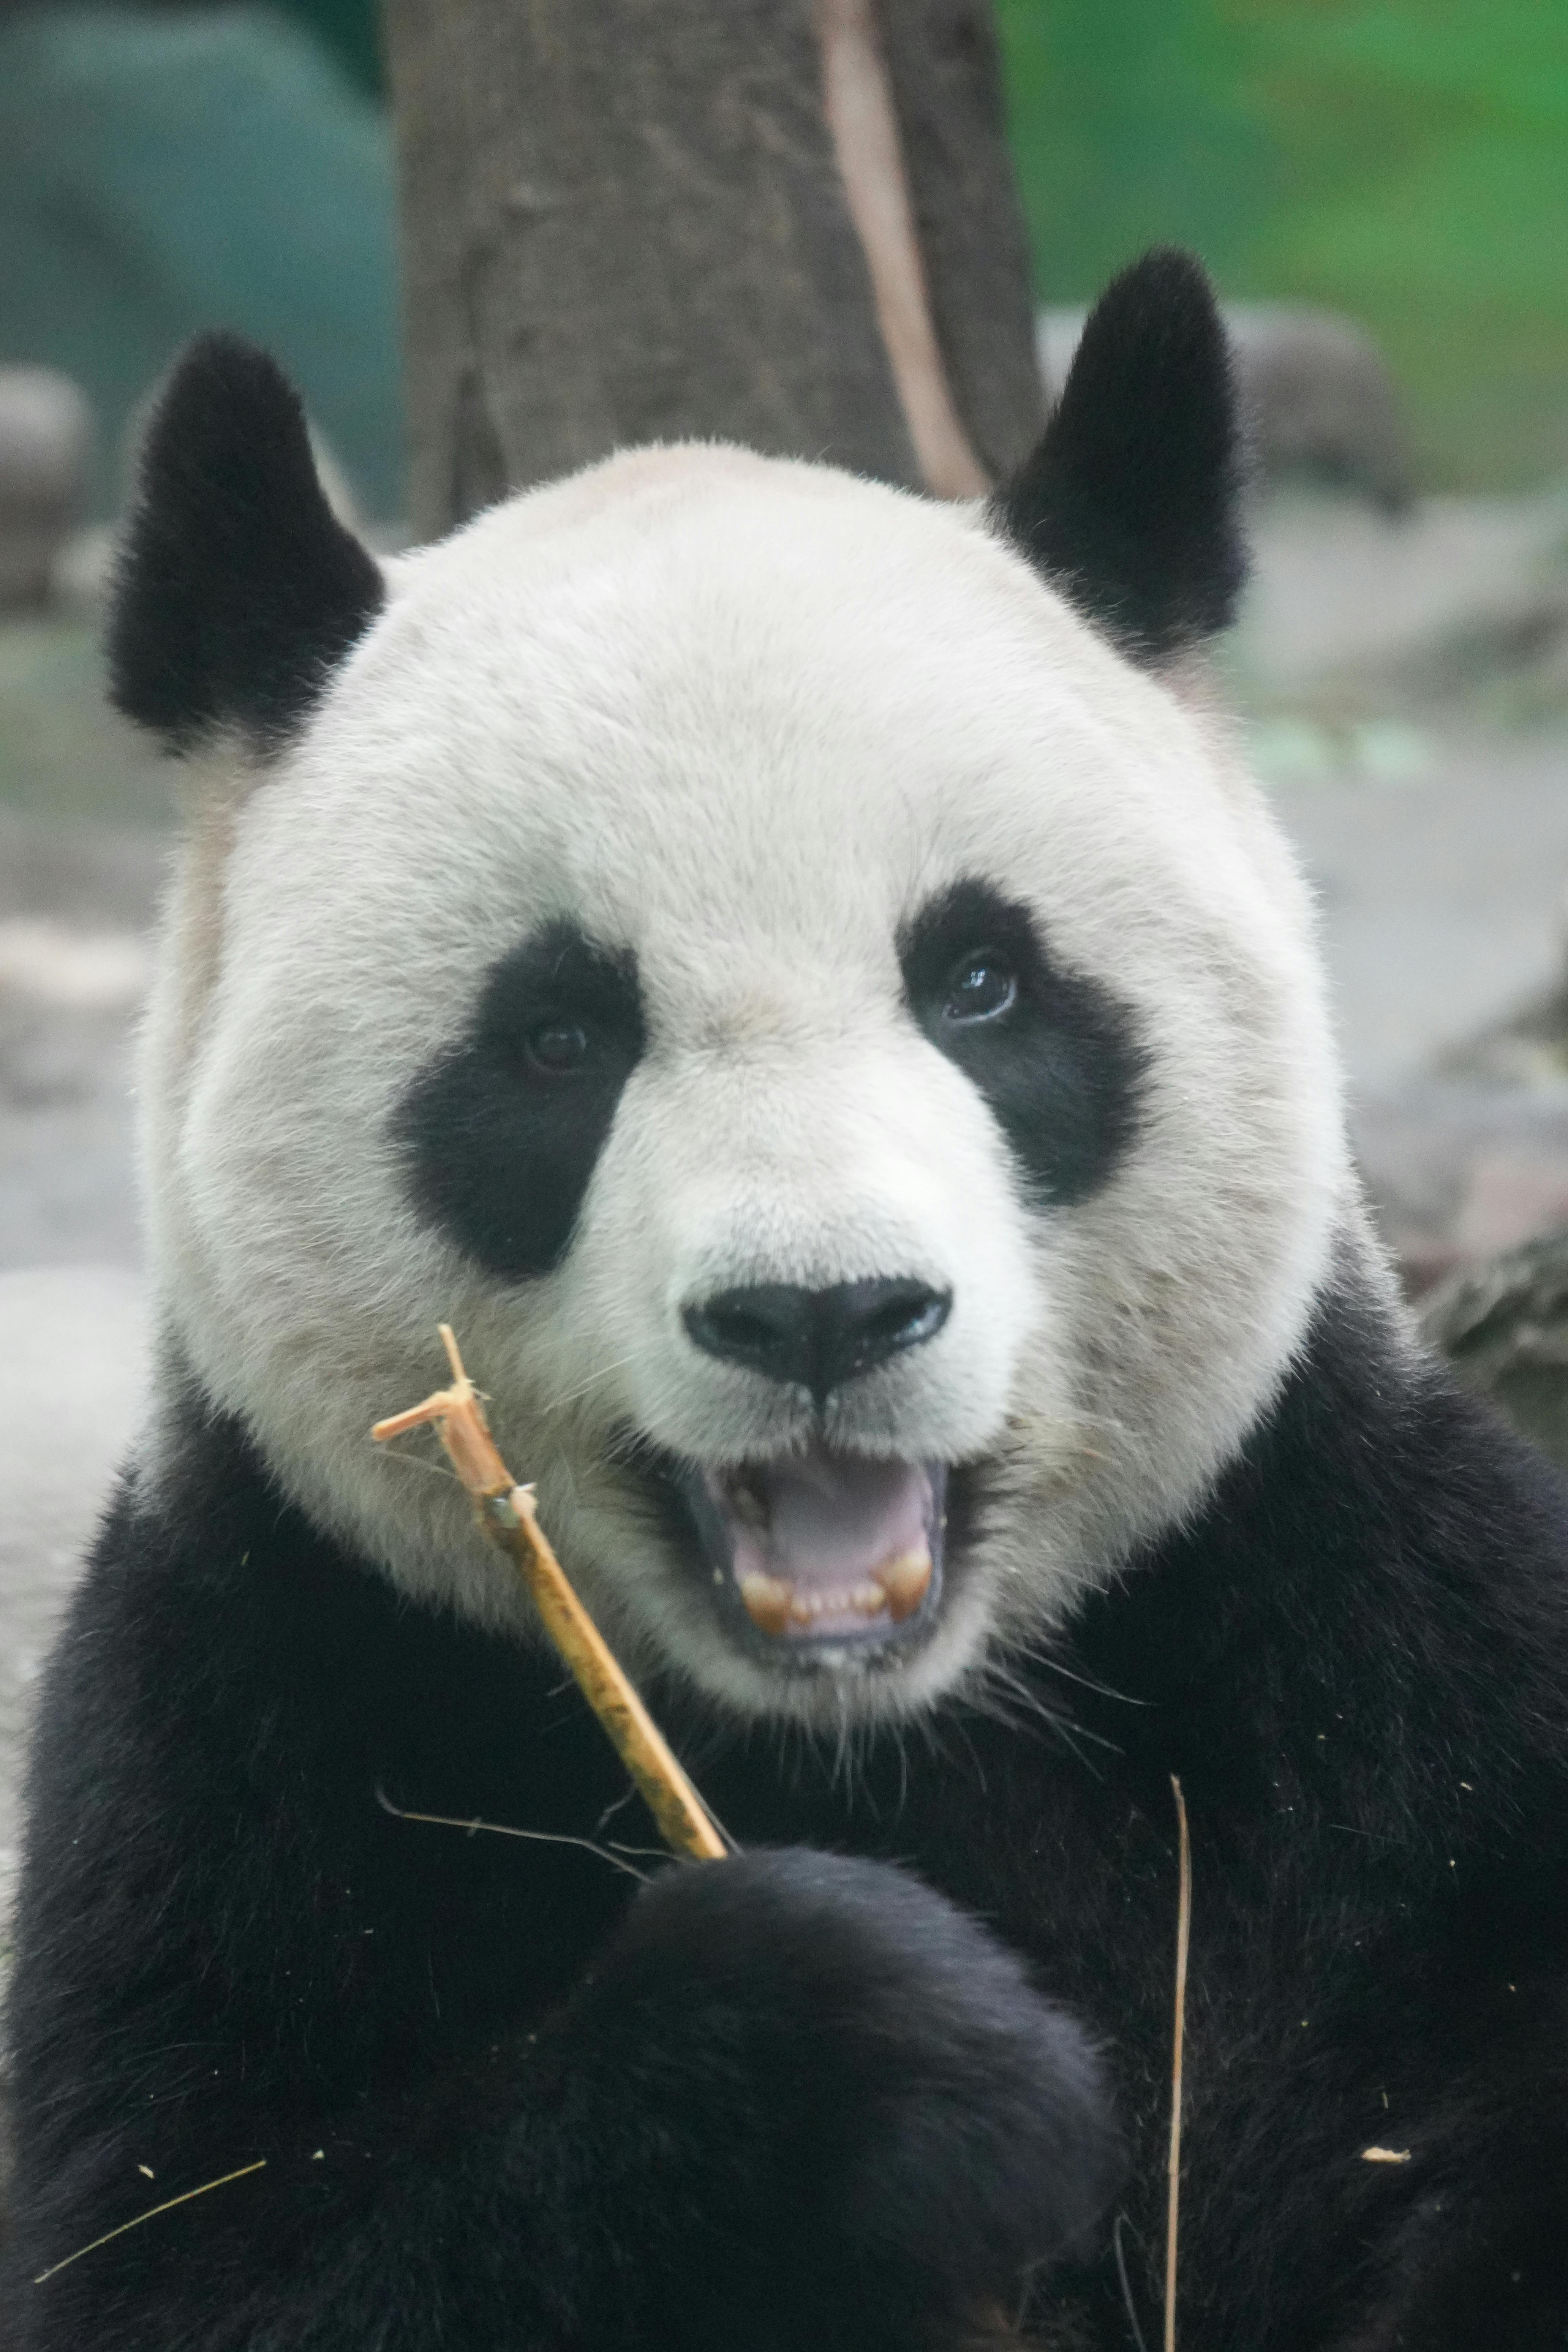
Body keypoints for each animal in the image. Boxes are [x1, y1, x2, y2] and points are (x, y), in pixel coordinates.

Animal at [3, 248, 1568, 2343]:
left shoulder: (1362, 1638)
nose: (822, 1313)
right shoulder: (261, 1705)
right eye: (557, 1037)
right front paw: (900, 2049)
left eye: (980, 983)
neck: (871, 1727)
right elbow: (199, 2245)